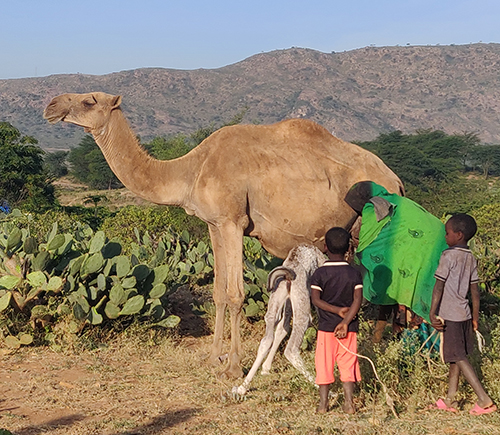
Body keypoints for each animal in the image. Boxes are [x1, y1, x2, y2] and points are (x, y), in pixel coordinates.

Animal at [42, 92, 402, 378]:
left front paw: (233, 366)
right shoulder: (213, 224)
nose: (51, 105)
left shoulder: (233, 221)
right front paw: (213, 358)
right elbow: (217, 292)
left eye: (89, 101)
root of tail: (395, 178)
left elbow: (235, 294)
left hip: (373, 223)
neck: (190, 170)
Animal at [231, 244, 324, 396]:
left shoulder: (287, 303)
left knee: (267, 339)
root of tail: (287, 275)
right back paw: (323, 386)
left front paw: (265, 369)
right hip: (302, 306)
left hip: (276, 300)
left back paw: (242, 387)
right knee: (291, 349)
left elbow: (282, 329)